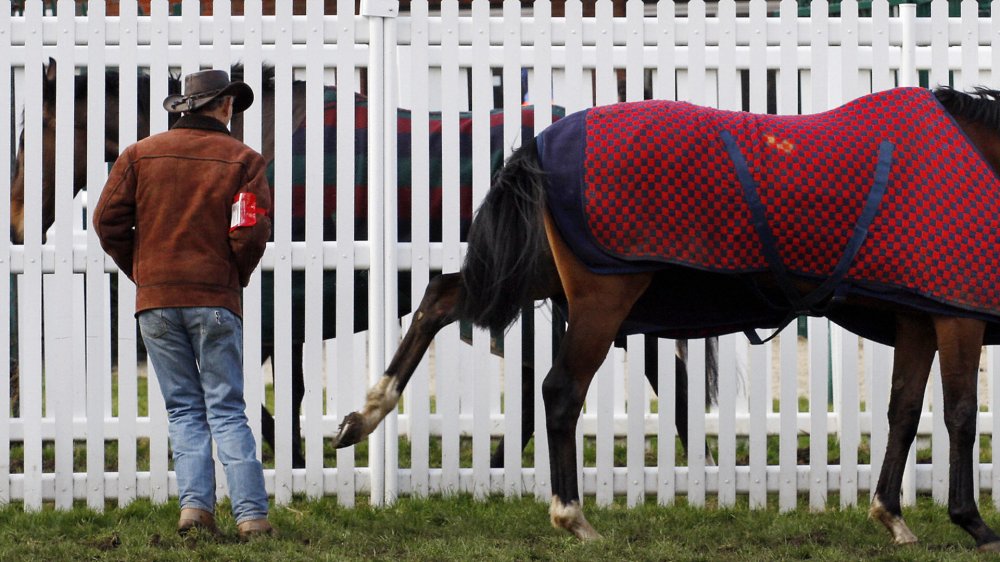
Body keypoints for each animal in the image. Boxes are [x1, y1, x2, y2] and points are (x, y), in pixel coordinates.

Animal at [9, 59, 718, 469]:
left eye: (26, 132)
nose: (15, 223)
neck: (256, 143)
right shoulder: (286, 304)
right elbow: (283, 385)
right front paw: (297, 453)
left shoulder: (276, 300)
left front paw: (292, 452)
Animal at [331, 85, 1000, 550]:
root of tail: (539, 144)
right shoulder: (958, 319)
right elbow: (961, 414)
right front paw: (972, 522)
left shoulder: (921, 318)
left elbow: (904, 412)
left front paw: (893, 515)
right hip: (602, 297)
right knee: (559, 390)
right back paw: (572, 515)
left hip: (545, 273)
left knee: (443, 295)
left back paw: (366, 413)